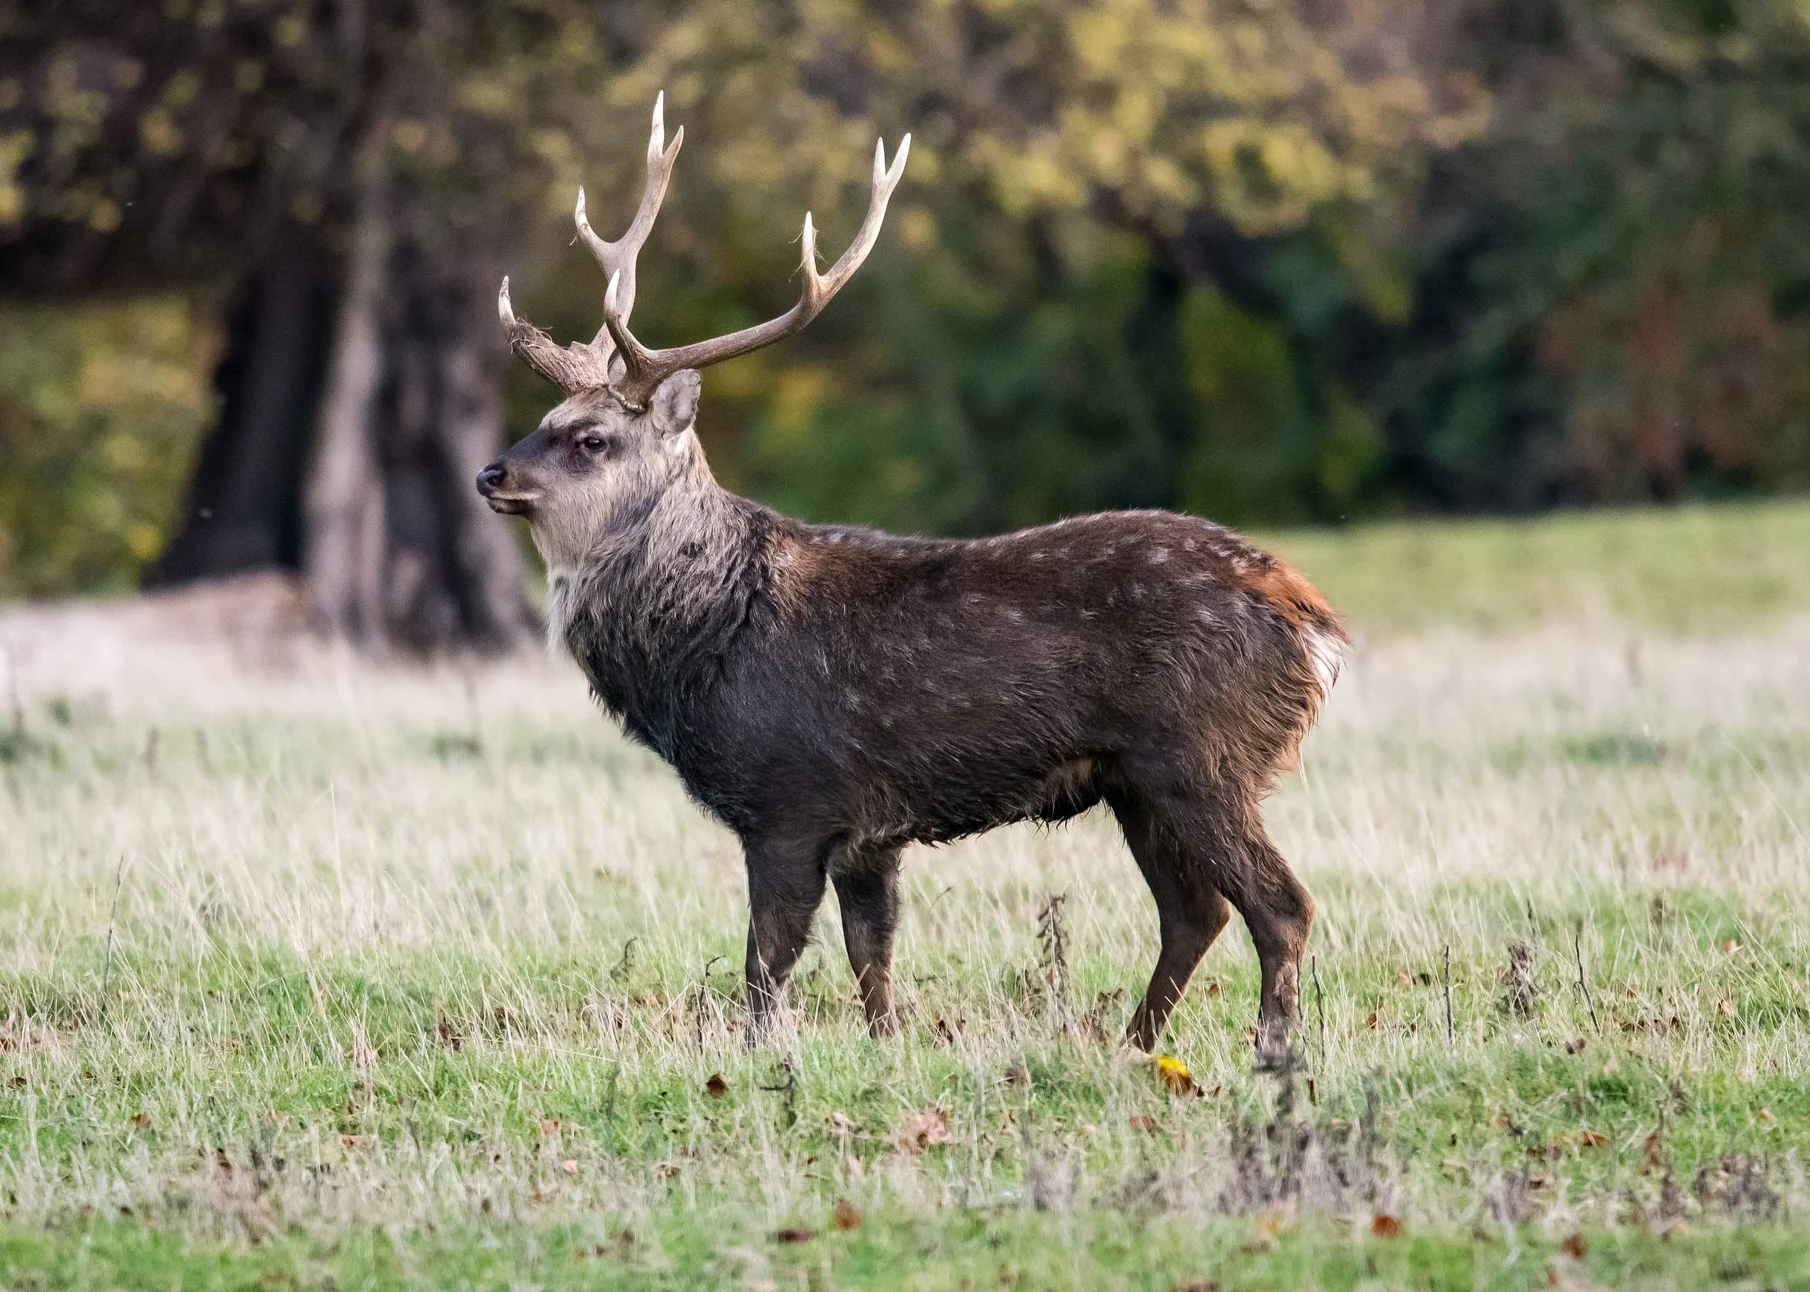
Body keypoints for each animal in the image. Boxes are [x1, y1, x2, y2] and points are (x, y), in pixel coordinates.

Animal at [477, 96, 1346, 1065]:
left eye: (590, 439)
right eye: (543, 418)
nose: (489, 475)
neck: (707, 640)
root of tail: (1314, 625)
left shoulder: (790, 794)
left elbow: (768, 961)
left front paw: (758, 1059)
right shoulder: (871, 828)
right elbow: (872, 951)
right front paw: (887, 1049)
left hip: (1202, 754)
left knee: (1281, 905)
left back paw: (1270, 1049)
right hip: (1137, 780)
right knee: (1195, 912)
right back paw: (1134, 1047)